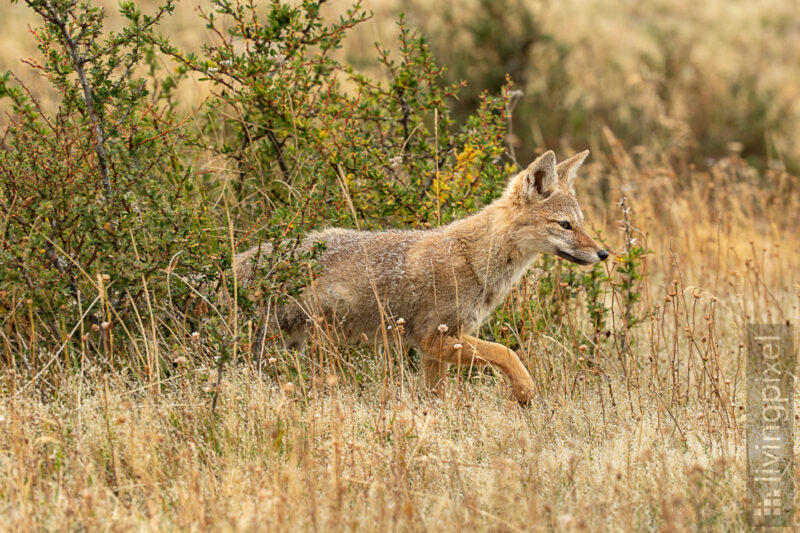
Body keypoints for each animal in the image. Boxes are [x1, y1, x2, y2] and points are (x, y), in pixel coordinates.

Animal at [234, 148, 608, 402]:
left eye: (582, 223)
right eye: (565, 225)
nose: (604, 254)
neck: (474, 258)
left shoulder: (434, 350)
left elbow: (439, 397)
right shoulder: (434, 337)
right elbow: (506, 351)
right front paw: (524, 391)